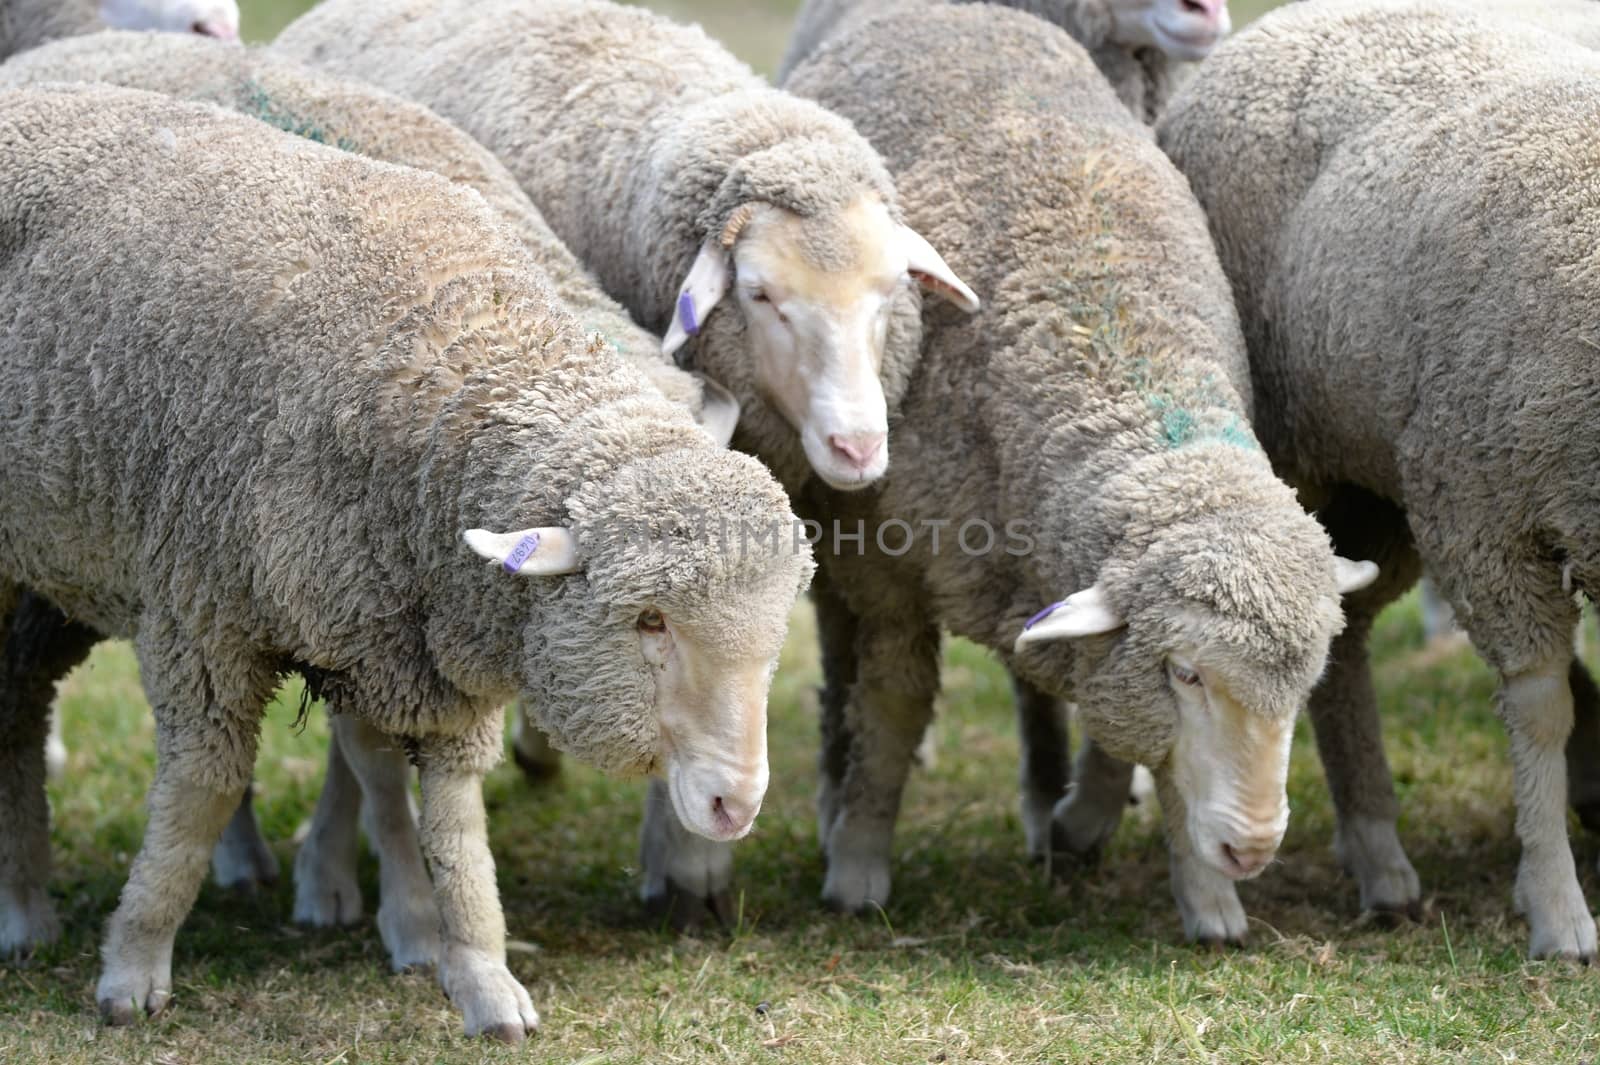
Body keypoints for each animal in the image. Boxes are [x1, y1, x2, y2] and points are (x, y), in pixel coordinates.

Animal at [0, 87, 806, 1029]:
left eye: (773, 640)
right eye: (649, 620)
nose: (735, 803)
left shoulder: (402, 638)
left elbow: (455, 827)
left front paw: (481, 973)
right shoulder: (203, 616)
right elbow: (201, 790)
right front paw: (133, 964)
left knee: (16, 704)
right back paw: (25, 910)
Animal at [1158, 0, 1600, 953]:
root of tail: (1278, 24)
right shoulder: (1483, 515)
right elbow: (1539, 707)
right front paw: (1557, 906)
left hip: (1369, 488)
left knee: (1345, 625)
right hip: (1311, 458)